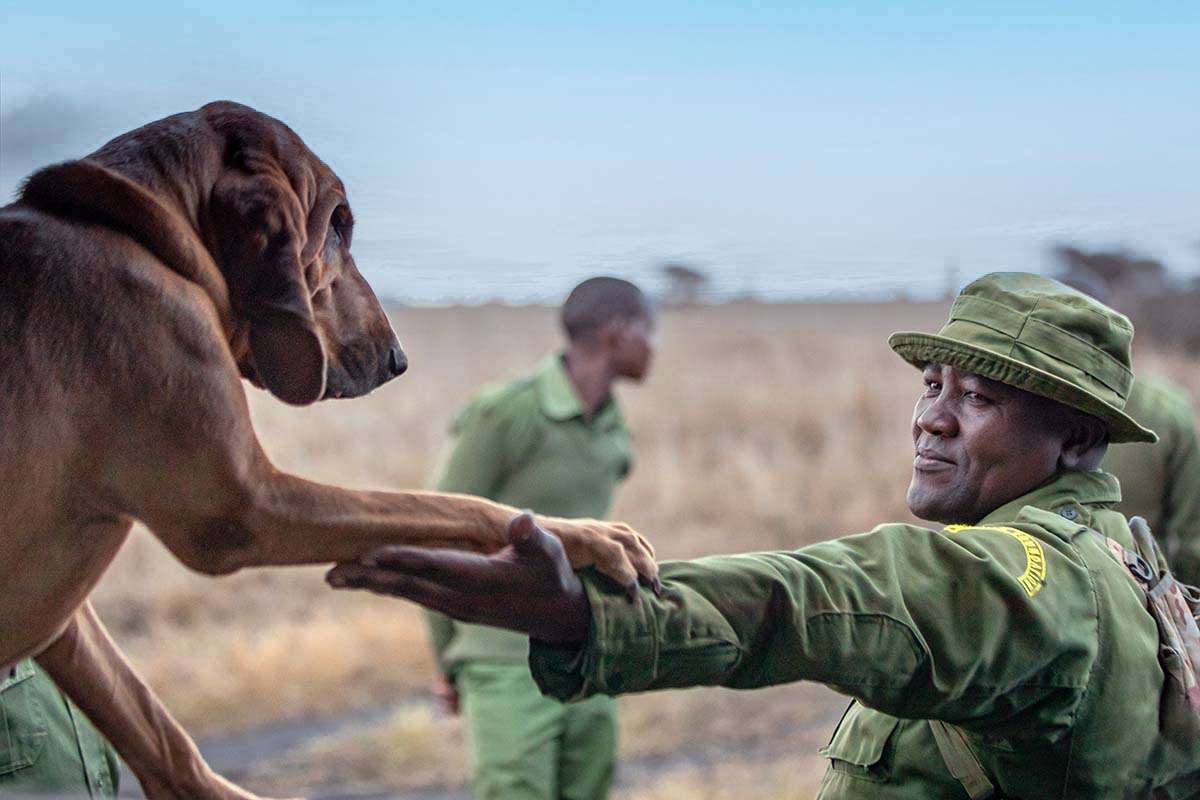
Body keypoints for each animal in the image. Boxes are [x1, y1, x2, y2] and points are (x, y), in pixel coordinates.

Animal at [0, 103, 657, 796]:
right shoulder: (246, 504)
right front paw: (587, 534)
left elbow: (146, 713)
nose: (399, 360)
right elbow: (452, 504)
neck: (138, 231)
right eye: (338, 227)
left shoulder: (67, 617)